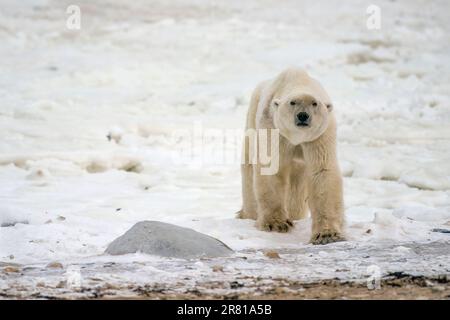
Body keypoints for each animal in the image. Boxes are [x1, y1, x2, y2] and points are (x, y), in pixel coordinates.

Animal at [239, 66, 344, 244]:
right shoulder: (273, 127)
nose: (302, 115)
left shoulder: (320, 136)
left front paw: (327, 235)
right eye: (292, 102)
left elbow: (322, 171)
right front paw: (276, 224)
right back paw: (249, 214)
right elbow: (271, 167)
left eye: (314, 103)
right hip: (251, 119)